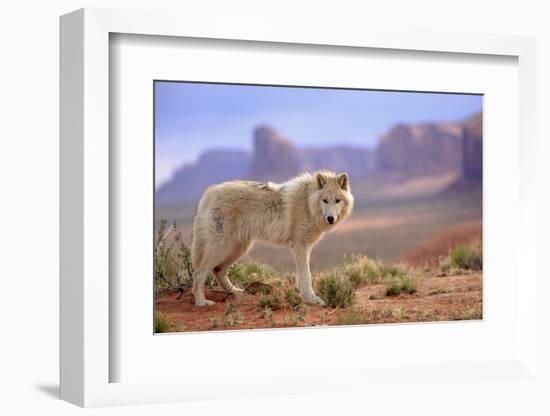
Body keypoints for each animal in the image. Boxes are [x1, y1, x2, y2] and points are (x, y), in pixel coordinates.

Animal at [191, 170, 354, 306]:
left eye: (337, 200)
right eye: (325, 200)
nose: (330, 218)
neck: (308, 202)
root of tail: (209, 192)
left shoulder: (304, 248)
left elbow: (303, 276)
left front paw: (305, 296)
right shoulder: (300, 246)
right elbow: (307, 276)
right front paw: (312, 299)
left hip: (238, 249)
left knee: (218, 271)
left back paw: (236, 292)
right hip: (223, 248)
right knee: (198, 273)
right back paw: (201, 302)